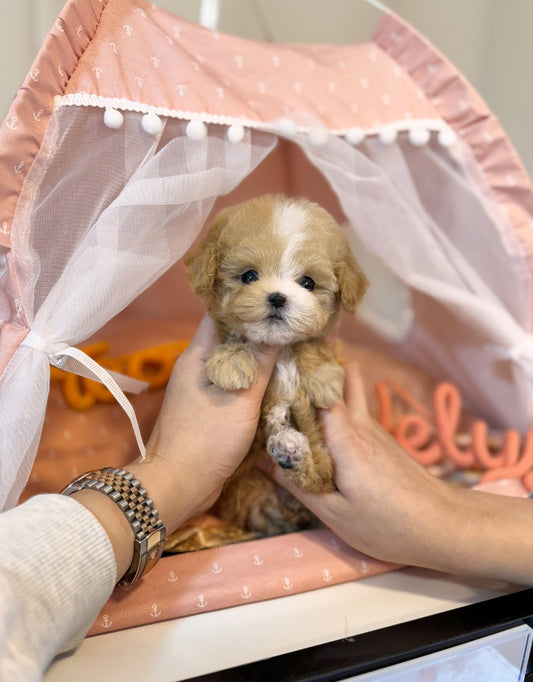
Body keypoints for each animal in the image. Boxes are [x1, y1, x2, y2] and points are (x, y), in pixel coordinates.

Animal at [184, 194, 366, 532]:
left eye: (308, 283)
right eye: (248, 276)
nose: (278, 298)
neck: (279, 351)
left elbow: (311, 345)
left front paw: (324, 378)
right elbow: (234, 338)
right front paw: (231, 362)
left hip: (319, 455)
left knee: (319, 474)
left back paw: (290, 448)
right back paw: (284, 436)